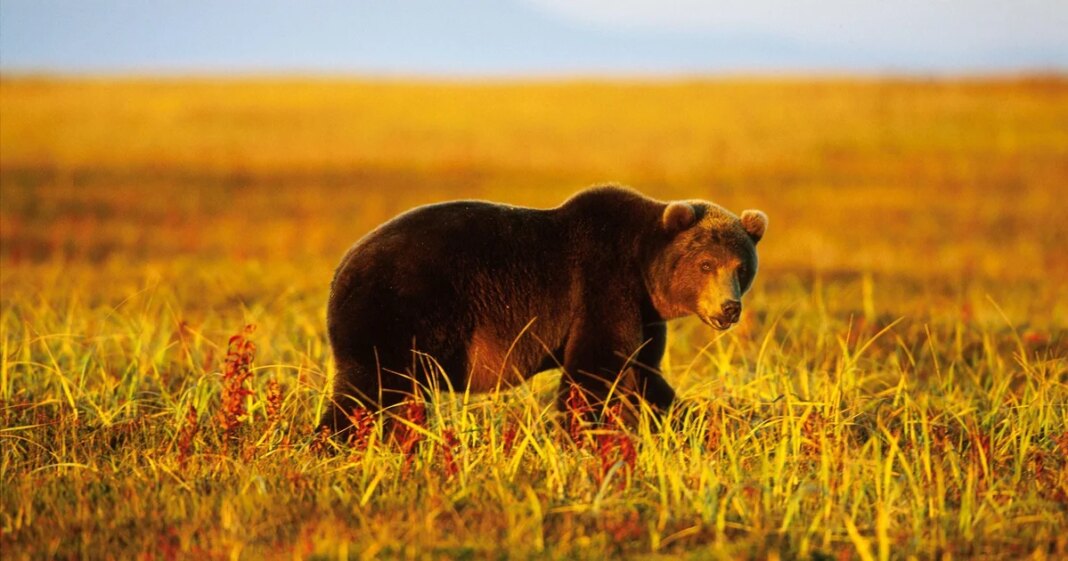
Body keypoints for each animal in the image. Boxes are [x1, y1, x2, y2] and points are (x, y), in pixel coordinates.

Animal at [319, 185, 767, 434]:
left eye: (742, 267)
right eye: (706, 264)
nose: (729, 308)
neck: (643, 270)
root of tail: (341, 267)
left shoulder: (645, 314)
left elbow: (642, 373)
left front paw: (685, 422)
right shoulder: (602, 285)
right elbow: (594, 368)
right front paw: (580, 434)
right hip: (396, 308)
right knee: (370, 387)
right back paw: (336, 442)